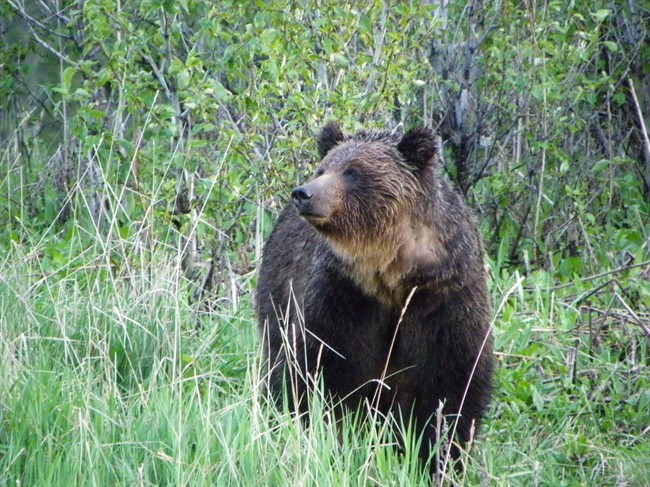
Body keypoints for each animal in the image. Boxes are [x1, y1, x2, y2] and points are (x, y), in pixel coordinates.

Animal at [256, 122, 494, 476]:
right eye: (323, 168)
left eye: (353, 171)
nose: (304, 193)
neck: (392, 274)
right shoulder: (344, 298)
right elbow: (317, 370)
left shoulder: (444, 299)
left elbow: (452, 386)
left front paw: (439, 459)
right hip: (276, 294)